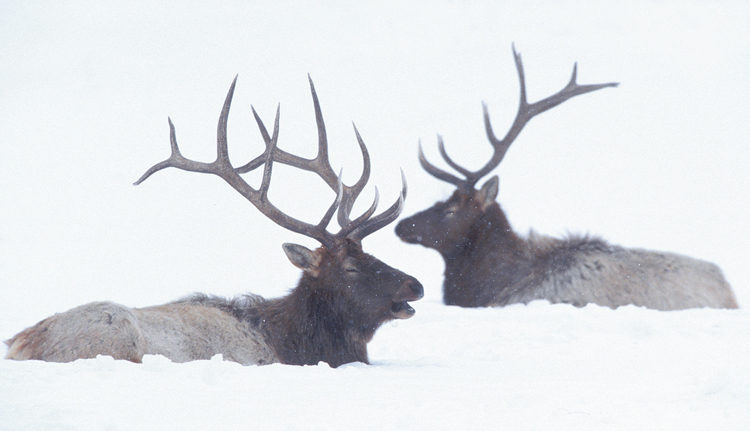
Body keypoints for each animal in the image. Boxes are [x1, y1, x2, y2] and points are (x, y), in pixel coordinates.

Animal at [5, 76, 426, 366]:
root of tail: (20, 343)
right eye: (352, 267)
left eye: (373, 254)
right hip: (113, 333)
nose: (416, 285)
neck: (294, 342)